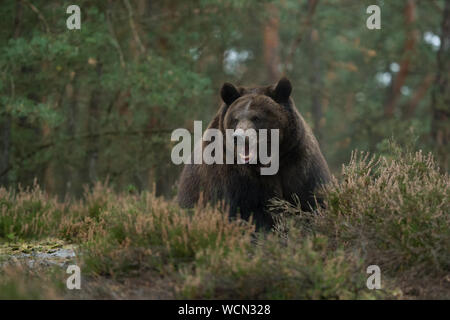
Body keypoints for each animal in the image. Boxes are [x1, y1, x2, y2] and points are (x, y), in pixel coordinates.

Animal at [177, 77, 330, 228]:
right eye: (235, 118)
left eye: (256, 117)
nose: (238, 137)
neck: (271, 160)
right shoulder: (234, 178)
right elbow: (249, 213)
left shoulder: (298, 163)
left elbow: (312, 200)